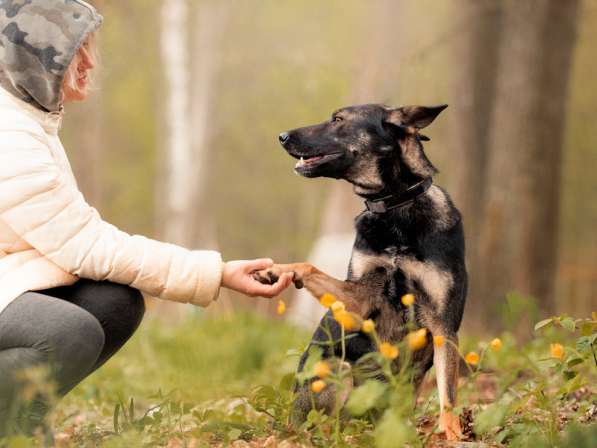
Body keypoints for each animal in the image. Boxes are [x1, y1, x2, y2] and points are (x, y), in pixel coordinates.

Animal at [254, 103, 468, 440]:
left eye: (338, 120)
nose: (282, 136)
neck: (395, 210)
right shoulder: (358, 301)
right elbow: (308, 266)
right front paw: (275, 270)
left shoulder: (443, 323)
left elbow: (448, 393)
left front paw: (451, 433)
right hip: (335, 369)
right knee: (323, 422)